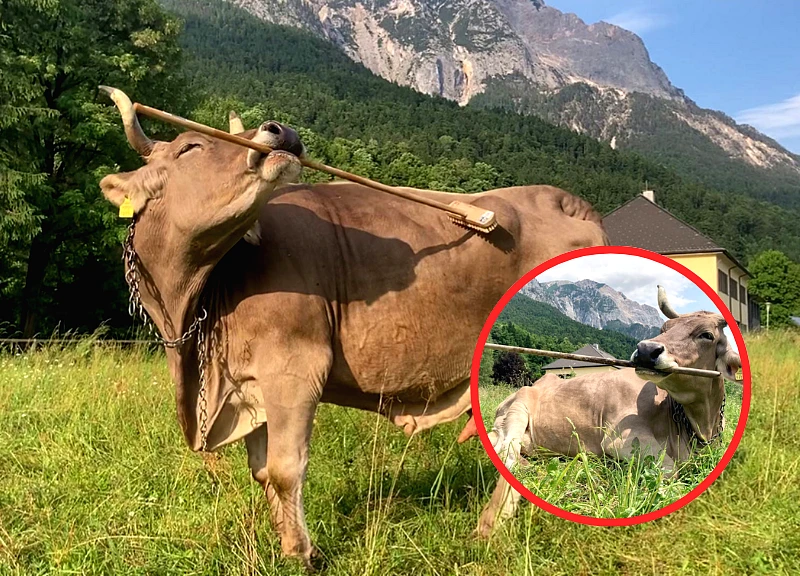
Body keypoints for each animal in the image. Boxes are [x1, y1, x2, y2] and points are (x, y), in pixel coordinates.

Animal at [99, 87, 608, 568]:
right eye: (189, 147)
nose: (280, 130)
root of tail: (568, 200)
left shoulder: (294, 366)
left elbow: (285, 468)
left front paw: (304, 555)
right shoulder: (248, 382)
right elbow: (262, 471)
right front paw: (286, 546)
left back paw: (490, 528)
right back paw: (488, 528)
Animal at [467, 286, 741, 537]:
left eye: (706, 335)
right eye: (665, 328)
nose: (646, 350)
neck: (696, 426)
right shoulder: (622, 439)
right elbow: (669, 470)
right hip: (518, 410)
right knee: (506, 451)